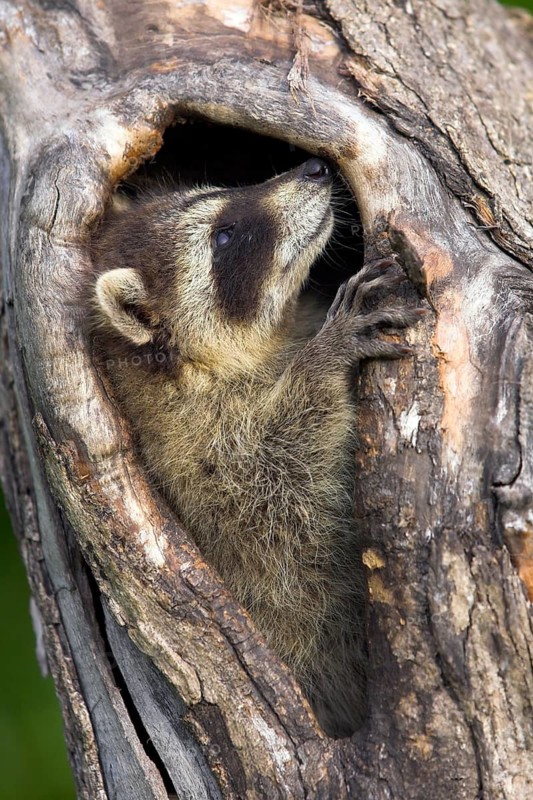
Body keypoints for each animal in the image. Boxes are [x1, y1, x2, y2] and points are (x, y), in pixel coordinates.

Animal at [91, 158, 422, 737]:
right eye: (222, 237)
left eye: (223, 188)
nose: (314, 167)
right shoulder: (197, 448)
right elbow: (279, 489)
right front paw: (323, 358)